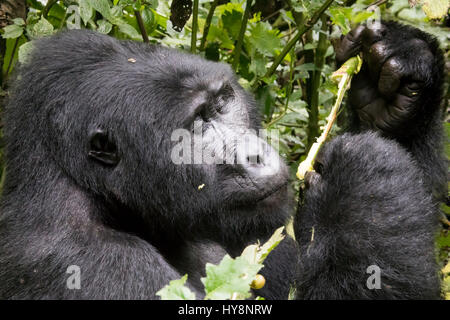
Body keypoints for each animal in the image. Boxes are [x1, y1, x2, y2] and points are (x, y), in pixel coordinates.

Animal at [0, 20, 444, 300]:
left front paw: (395, 83)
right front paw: (366, 188)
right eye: (196, 125)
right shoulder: (93, 265)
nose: (255, 154)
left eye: (222, 103)